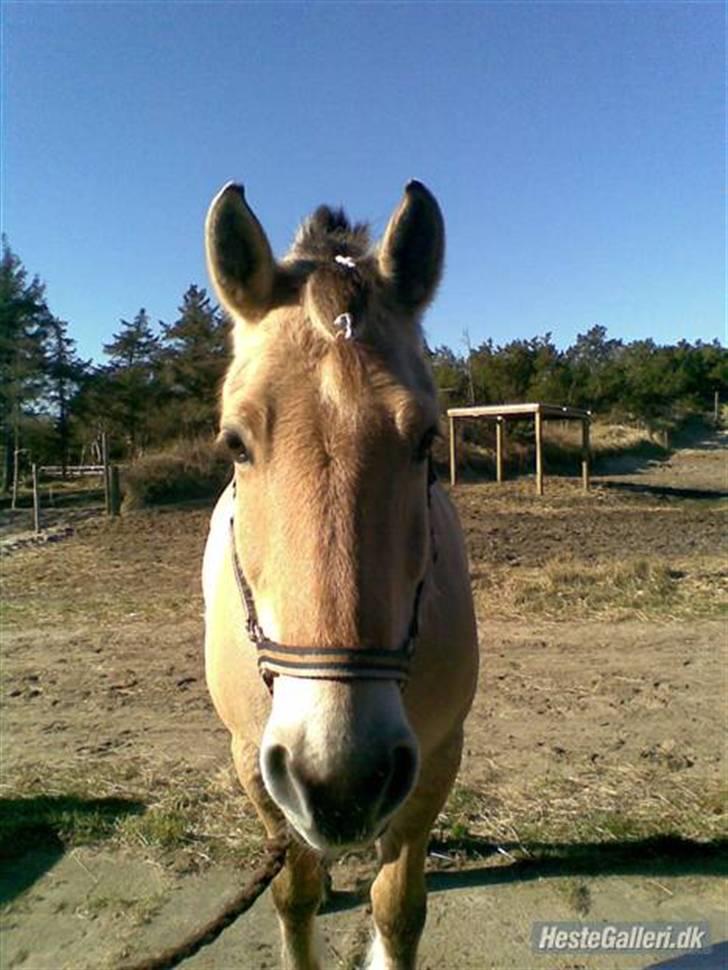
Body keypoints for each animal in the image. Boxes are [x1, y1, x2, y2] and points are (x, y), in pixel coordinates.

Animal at [202, 182, 480, 968]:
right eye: (235, 445)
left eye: (427, 440)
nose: (340, 781)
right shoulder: (256, 764)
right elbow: (293, 897)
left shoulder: (436, 759)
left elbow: (399, 908)